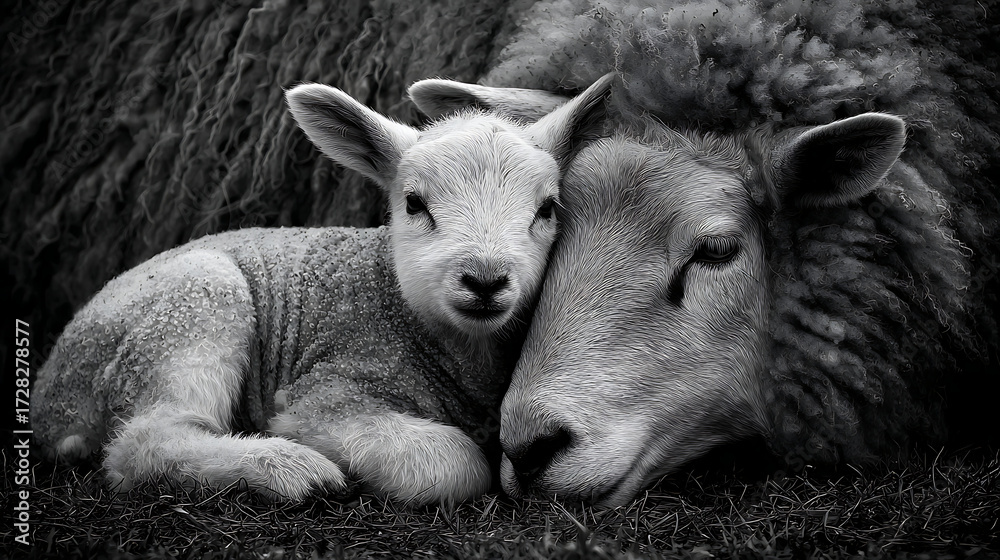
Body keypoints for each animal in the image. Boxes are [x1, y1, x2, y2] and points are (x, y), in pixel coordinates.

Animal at [31, 74, 613, 505]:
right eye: (414, 203)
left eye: (547, 209)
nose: (486, 279)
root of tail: (50, 402)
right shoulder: (331, 384)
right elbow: (455, 464)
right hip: (192, 305)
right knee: (143, 443)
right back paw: (289, 470)